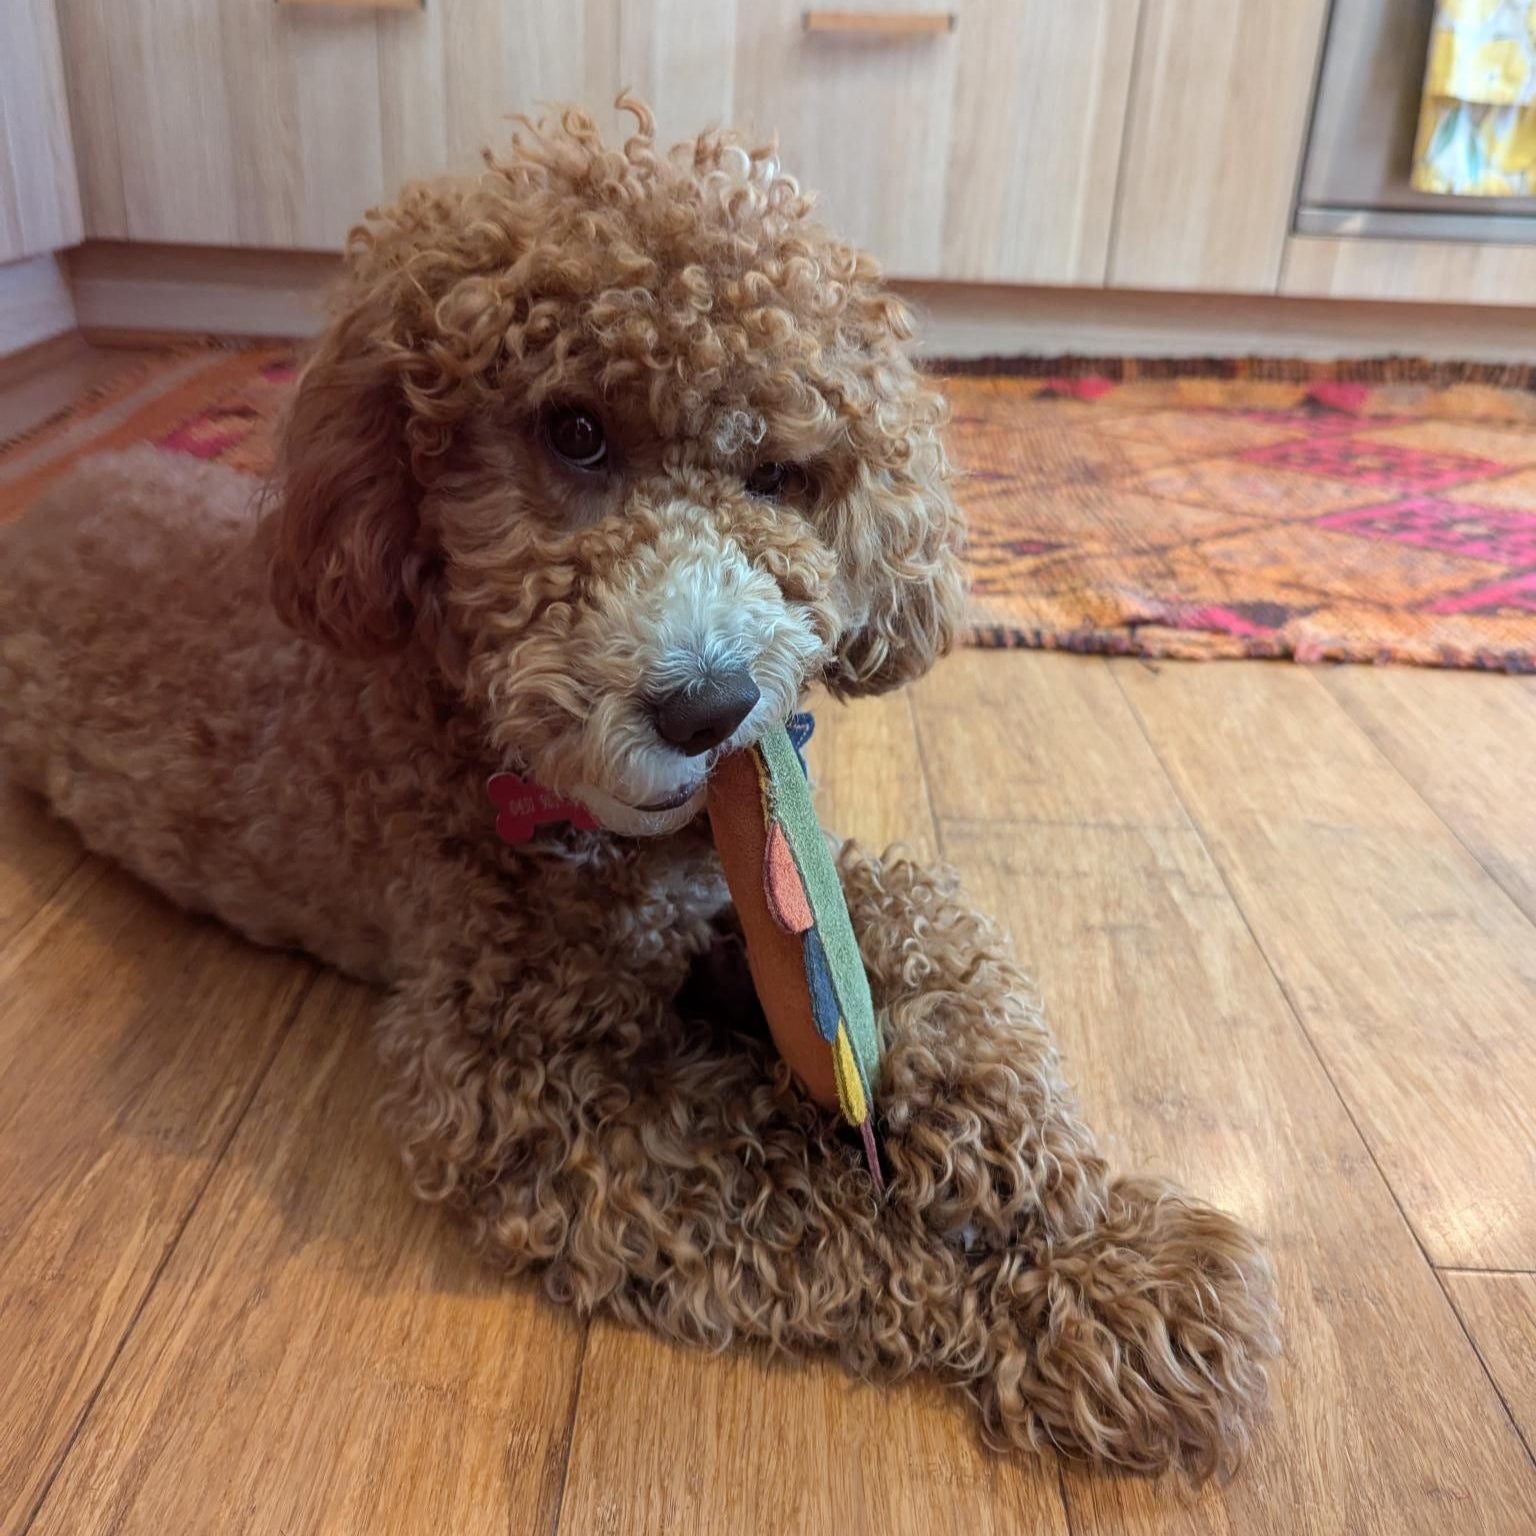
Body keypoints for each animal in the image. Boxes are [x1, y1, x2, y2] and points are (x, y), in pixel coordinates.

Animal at [0, 99, 1271, 1474]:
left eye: (781, 475)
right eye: (573, 432)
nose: (708, 708)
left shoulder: (760, 882)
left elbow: (935, 949)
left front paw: (1046, 1181)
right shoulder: (528, 1095)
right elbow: (807, 1199)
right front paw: (1112, 1299)